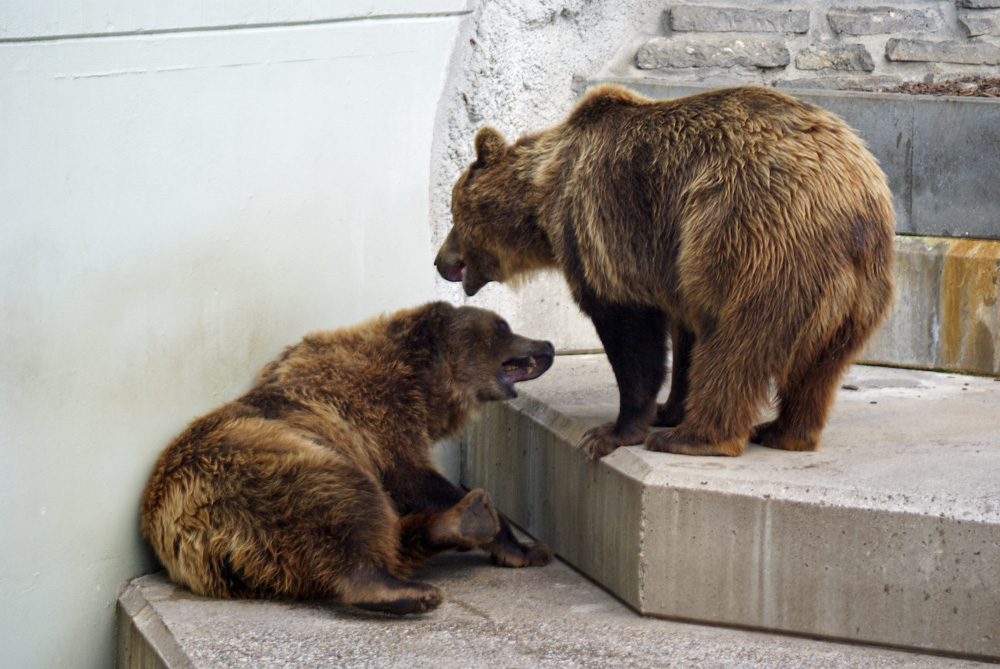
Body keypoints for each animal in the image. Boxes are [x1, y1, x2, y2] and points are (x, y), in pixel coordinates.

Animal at [139, 302, 556, 616]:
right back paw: (410, 587)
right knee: (348, 504)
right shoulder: (376, 412)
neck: (423, 384)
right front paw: (524, 548)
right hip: (261, 470)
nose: (548, 345)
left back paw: (462, 523)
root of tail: (183, 531)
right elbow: (410, 476)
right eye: (503, 325)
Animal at [438, 83, 900, 460]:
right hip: (857, 292)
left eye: (454, 214)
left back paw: (696, 438)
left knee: (735, 345)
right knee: (819, 368)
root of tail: (855, 204)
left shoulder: (606, 230)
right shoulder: (672, 265)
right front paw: (668, 408)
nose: (441, 261)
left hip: (756, 246)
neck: (544, 195)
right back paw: (783, 431)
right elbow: (685, 336)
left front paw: (612, 432)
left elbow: (631, 335)